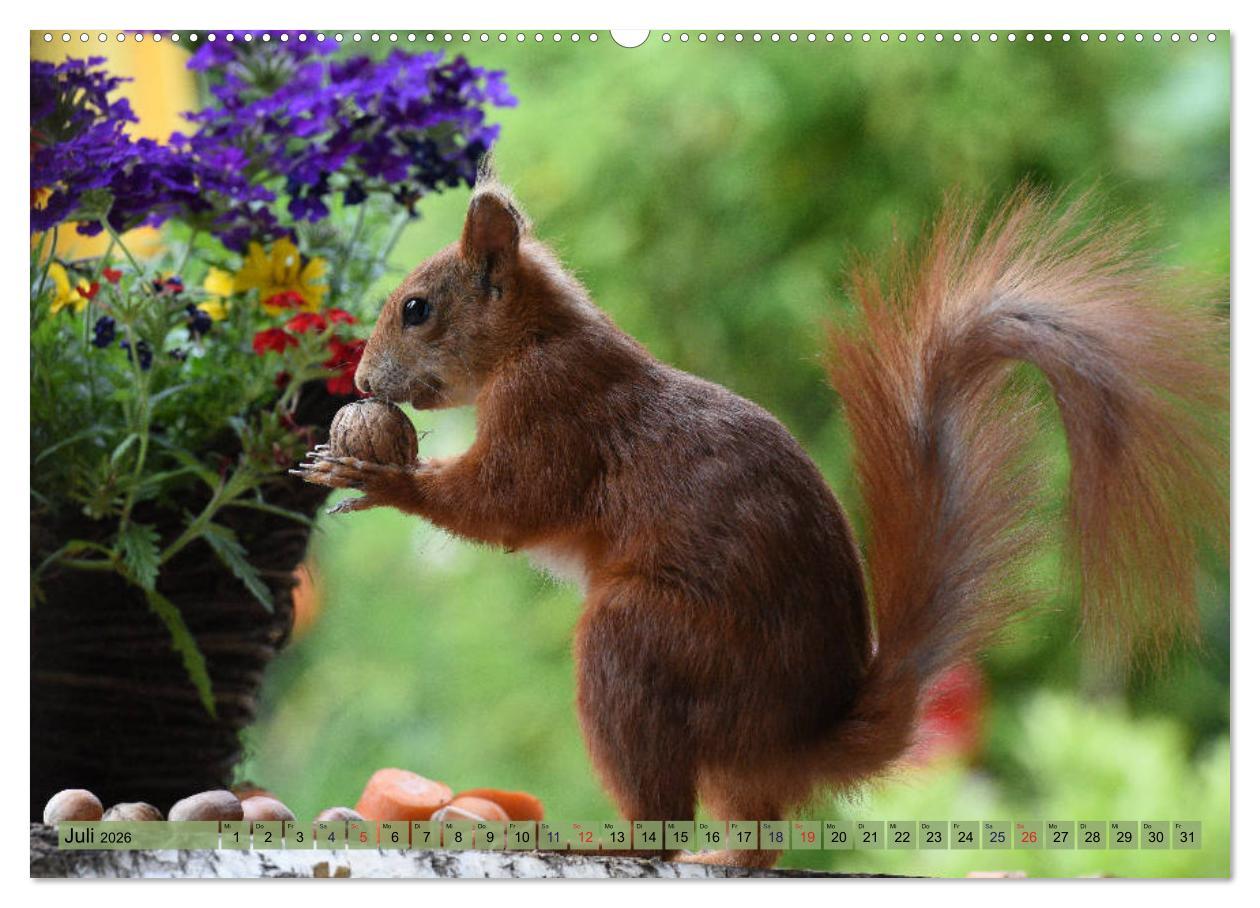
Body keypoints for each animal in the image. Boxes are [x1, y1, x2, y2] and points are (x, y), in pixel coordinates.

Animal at [294, 173, 1228, 868]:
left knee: (668, 823)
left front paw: (379, 474)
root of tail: (797, 734)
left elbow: (507, 503)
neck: (538, 338)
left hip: (644, 642)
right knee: (759, 839)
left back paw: (617, 845)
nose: (364, 383)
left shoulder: (557, 415)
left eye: (417, 308)